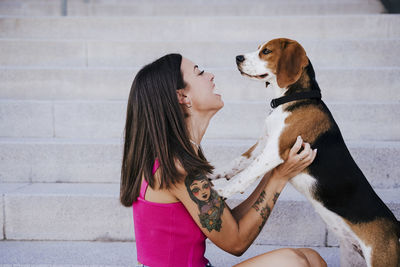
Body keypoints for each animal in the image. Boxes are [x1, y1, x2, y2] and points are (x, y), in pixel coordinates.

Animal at [212, 37, 400, 267]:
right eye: (258, 49)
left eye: (266, 51)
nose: (237, 58)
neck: (294, 98)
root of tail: (397, 229)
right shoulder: (263, 143)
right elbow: (238, 162)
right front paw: (212, 173)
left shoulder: (274, 151)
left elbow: (245, 176)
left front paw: (221, 192)